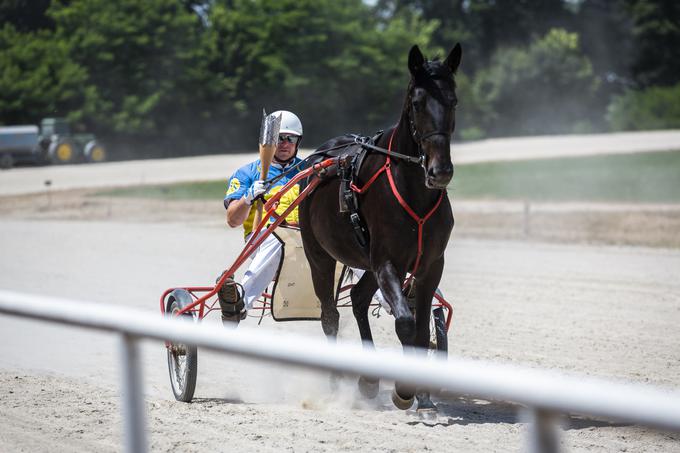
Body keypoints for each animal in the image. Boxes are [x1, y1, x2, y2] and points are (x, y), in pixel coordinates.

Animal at [300, 43, 460, 414]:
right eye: (417, 102)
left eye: (453, 100)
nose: (440, 171)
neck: (414, 191)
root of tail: (320, 156)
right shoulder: (387, 261)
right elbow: (405, 323)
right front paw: (404, 390)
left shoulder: (430, 264)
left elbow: (420, 330)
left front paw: (425, 398)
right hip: (319, 255)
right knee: (329, 315)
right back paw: (336, 383)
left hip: (369, 262)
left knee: (359, 299)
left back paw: (369, 381)